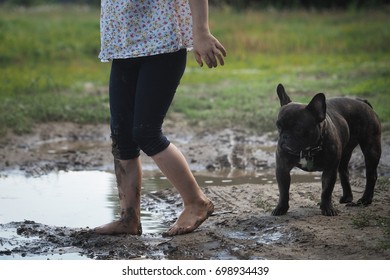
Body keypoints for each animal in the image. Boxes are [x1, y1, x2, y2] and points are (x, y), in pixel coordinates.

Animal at [272, 83, 380, 217]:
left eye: (298, 128)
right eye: (278, 126)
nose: (284, 136)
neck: (308, 150)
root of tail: (362, 102)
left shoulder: (330, 170)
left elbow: (327, 190)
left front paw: (327, 208)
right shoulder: (282, 169)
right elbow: (283, 191)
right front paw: (281, 208)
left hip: (371, 149)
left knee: (371, 175)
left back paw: (365, 200)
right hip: (345, 153)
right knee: (344, 172)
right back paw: (347, 197)